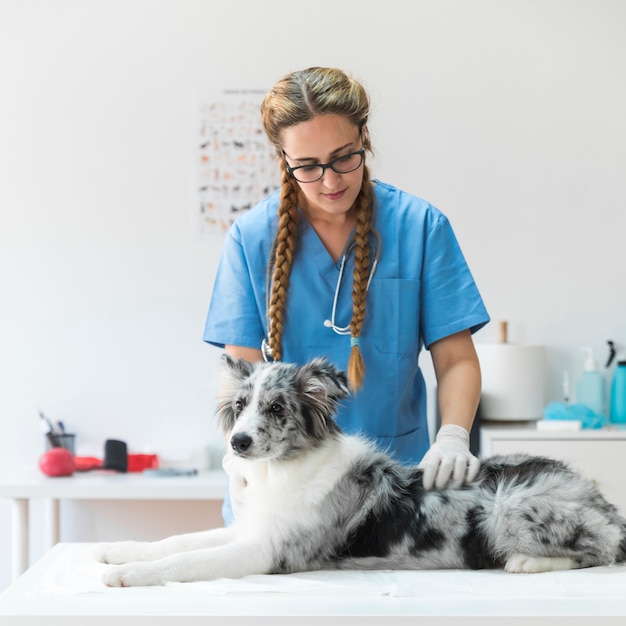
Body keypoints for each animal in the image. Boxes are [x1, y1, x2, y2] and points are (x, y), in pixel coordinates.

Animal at [96, 356, 624, 584]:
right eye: (241, 406)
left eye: (276, 408)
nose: (237, 443)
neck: (282, 469)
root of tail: (602, 502)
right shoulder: (251, 529)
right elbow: (177, 541)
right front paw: (116, 553)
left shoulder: (270, 552)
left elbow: (187, 561)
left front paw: (128, 576)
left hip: (508, 503)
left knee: (600, 551)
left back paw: (527, 562)